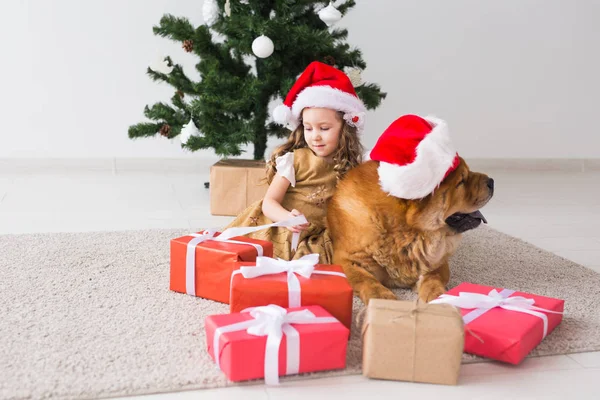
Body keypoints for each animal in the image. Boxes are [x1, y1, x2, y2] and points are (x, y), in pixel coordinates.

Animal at [326, 115, 494, 304]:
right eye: (461, 181)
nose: (492, 182)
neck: (404, 233)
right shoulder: (347, 259)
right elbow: (366, 280)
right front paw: (383, 297)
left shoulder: (436, 263)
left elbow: (433, 279)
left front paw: (436, 297)